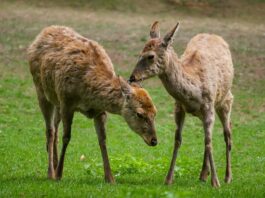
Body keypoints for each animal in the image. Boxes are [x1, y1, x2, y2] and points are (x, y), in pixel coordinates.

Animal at [27, 25, 157, 183]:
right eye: (139, 114)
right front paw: (59, 175)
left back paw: (55, 163)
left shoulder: (99, 111)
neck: (88, 95)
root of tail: (43, 32)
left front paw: (110, 178)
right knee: (50, 130)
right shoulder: (67, 102)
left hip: (56, 99)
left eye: (155, 112)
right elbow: (67, 137)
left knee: (55, 128)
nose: (154, 140)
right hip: (40, 89)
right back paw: (51, 172)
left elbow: (103, 140)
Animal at [128, 21, 233, 187]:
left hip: (225, 100)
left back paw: (227, 177)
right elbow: (178, 139)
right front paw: (168, 179)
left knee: (227, 134)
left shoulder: (209, 106)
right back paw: (203, 175)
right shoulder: (178, 107)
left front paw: (216, 182)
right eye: (139, 53)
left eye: (150, 56)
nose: (132, 77)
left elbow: (209, 141)